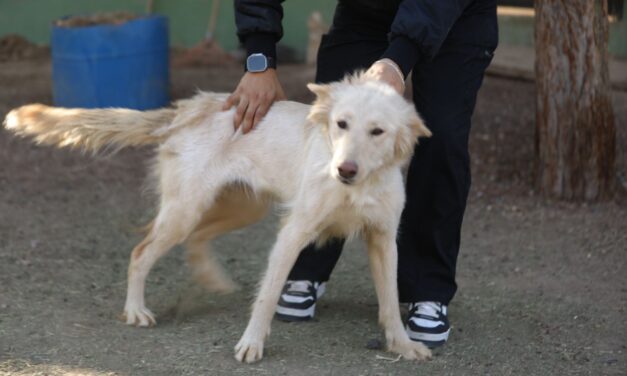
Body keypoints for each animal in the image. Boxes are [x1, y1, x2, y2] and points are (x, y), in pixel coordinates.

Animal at [4, 72, 434, 362]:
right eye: (341, 124)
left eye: (377, 131)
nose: (343, 170)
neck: (358, 185)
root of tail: (193, 106)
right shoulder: (293, 233)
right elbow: (266, 295)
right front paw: (251, 344)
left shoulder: (383, 240)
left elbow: (390, 300)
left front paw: (403, 344)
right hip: (185, 210)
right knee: (140, 253)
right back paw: (136, 311)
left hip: (240, 208)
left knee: (197, 238)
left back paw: (210, 277)